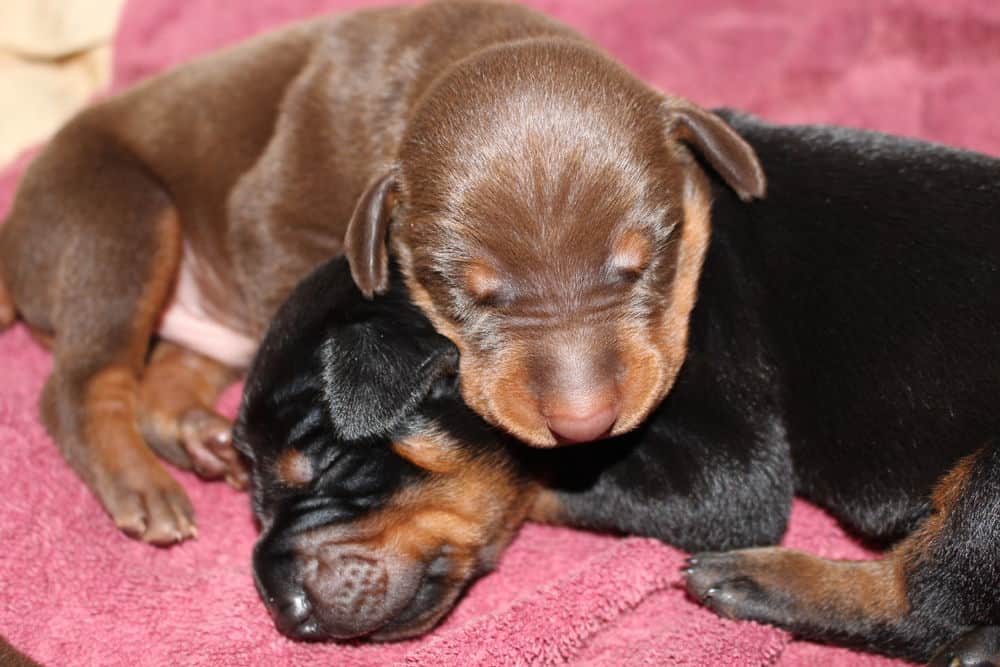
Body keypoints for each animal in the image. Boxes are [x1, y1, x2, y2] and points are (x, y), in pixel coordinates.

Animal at [0, 0, 756, 544]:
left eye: (646, 261)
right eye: (465, 294)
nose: (584, 423)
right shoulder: (270, 218)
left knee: (166, 373)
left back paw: (194, 430)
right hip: (118, 216)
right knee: (81, 384)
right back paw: (141, 483)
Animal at [240, 111, 1000, 667]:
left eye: (329, 462)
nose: (280, 607)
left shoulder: (727, 471)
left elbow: (557, 476)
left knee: (921, 604)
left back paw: (756, 580)